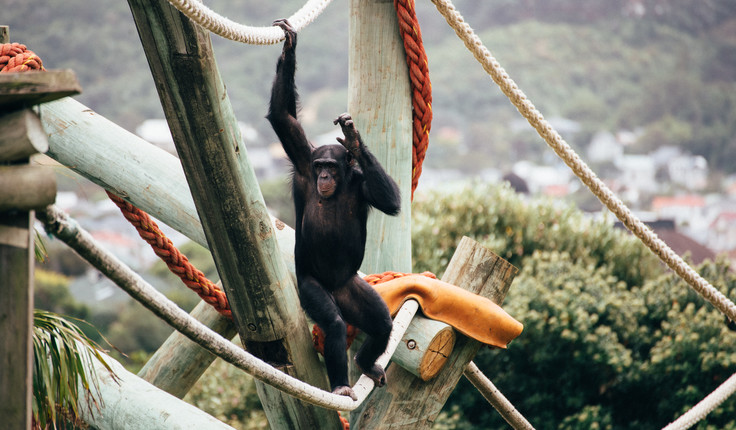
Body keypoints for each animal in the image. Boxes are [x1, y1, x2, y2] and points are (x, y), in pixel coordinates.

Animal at [268, 16, 400, 400]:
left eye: (333, 165)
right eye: (319, 166)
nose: (325, 175)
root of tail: (338, 290)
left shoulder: (364, 184)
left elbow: (390, 200)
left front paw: (355, 141)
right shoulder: (302, 160)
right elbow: (282, 117)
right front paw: (289, 46)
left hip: (353, 288)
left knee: (381, 322)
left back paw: (366, 362)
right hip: (314, 289)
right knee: (337, 324)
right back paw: (341, 382)